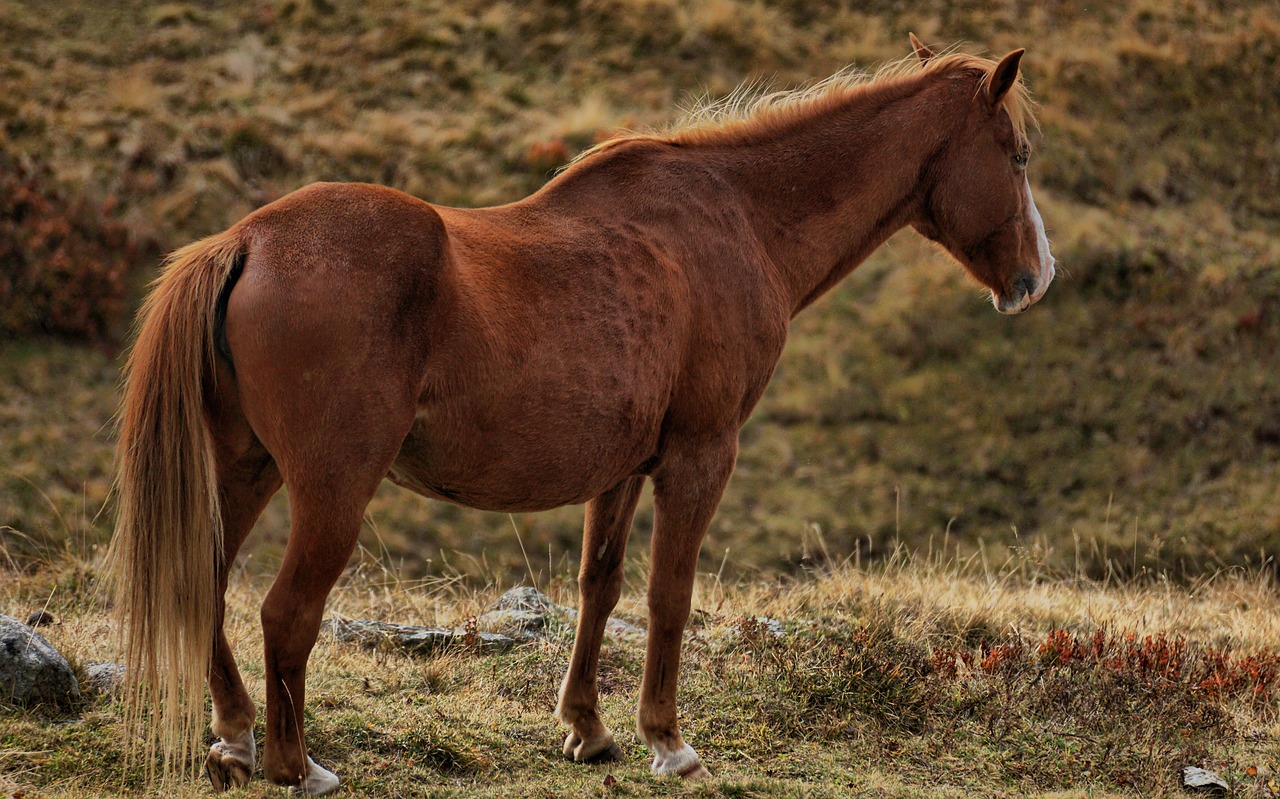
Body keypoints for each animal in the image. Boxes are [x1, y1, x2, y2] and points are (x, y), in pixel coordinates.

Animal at [107, 35, 1049, 793]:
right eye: (1016, 154)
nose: (1036, 277)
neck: (734, 215)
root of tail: (247, 241)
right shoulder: (701, 455)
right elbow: (670, 594)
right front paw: (669, 741)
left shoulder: (623, 468)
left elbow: (601, 587)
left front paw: (589, 729)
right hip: (331, 487)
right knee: (285, 613)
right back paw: (295, 765)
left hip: (246, 467)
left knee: (204, 580)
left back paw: (234, 737)